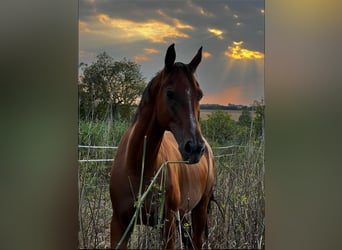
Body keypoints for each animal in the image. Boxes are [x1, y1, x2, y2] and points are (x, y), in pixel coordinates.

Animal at [110, 44, 214, 249]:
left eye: (200, 95)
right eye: (170, 93)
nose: (195, 148)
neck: (137, 165)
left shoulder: (168, 225)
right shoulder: (118, 224)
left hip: (200, 210)